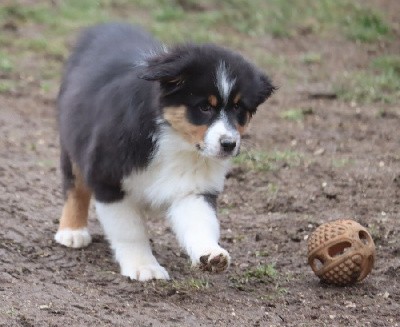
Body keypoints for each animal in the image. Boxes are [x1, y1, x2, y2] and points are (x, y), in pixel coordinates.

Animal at [54, 23, 276, 282]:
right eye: (204, 107)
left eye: (239, 108)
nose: (229, 144)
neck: (174, 141)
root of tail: (107, 26)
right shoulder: (108, 178)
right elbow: (130, 231)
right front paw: (144, 267)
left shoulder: (193, 188)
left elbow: (200, 222)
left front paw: (211, 254)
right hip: (72, 140)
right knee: (75, 187)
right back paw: (72, 232)